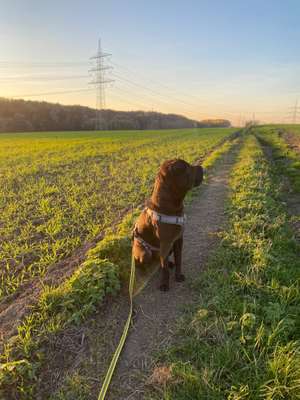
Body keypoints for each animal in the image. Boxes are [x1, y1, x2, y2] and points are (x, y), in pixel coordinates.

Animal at [132, 159, 203, 290]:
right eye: (186, 168)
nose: (201, 167)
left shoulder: (178, 240)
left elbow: (178, 259)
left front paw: (178, 276)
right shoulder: (165, 243)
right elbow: (164, 269)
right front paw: (164, 284)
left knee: (160, 261)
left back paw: (168, 263)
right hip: (145, 252)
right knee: (147, 262)